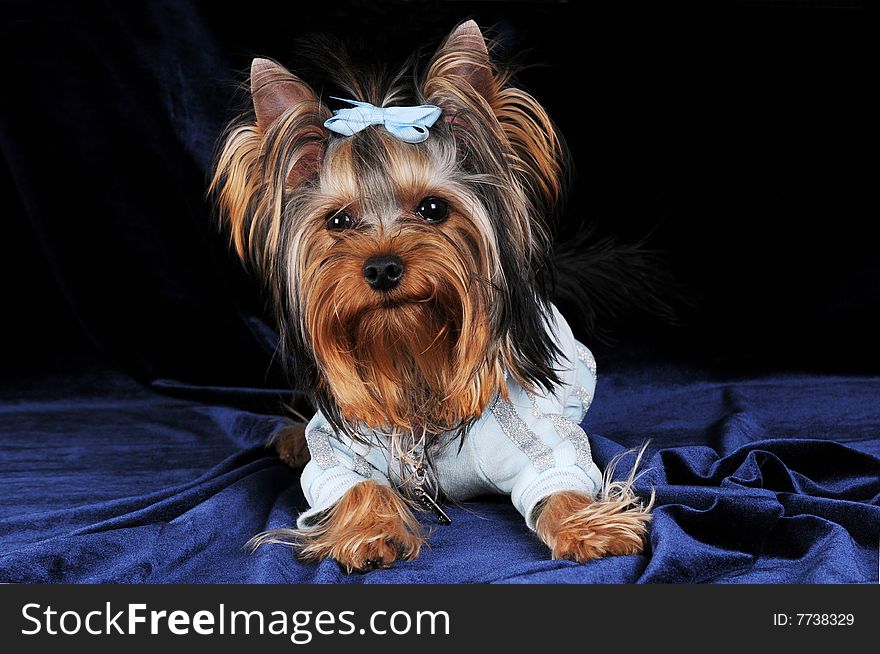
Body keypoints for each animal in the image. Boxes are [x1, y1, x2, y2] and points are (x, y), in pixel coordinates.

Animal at [211, 20, 652, 576]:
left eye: (433, 209)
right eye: (339, 221)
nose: (382, 267)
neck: (416, 367)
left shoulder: (536, 438)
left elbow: (561, 480)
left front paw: (590, 527)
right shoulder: (342, 452)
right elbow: (352, 485)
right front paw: (371, 533)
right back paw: (292, 440)